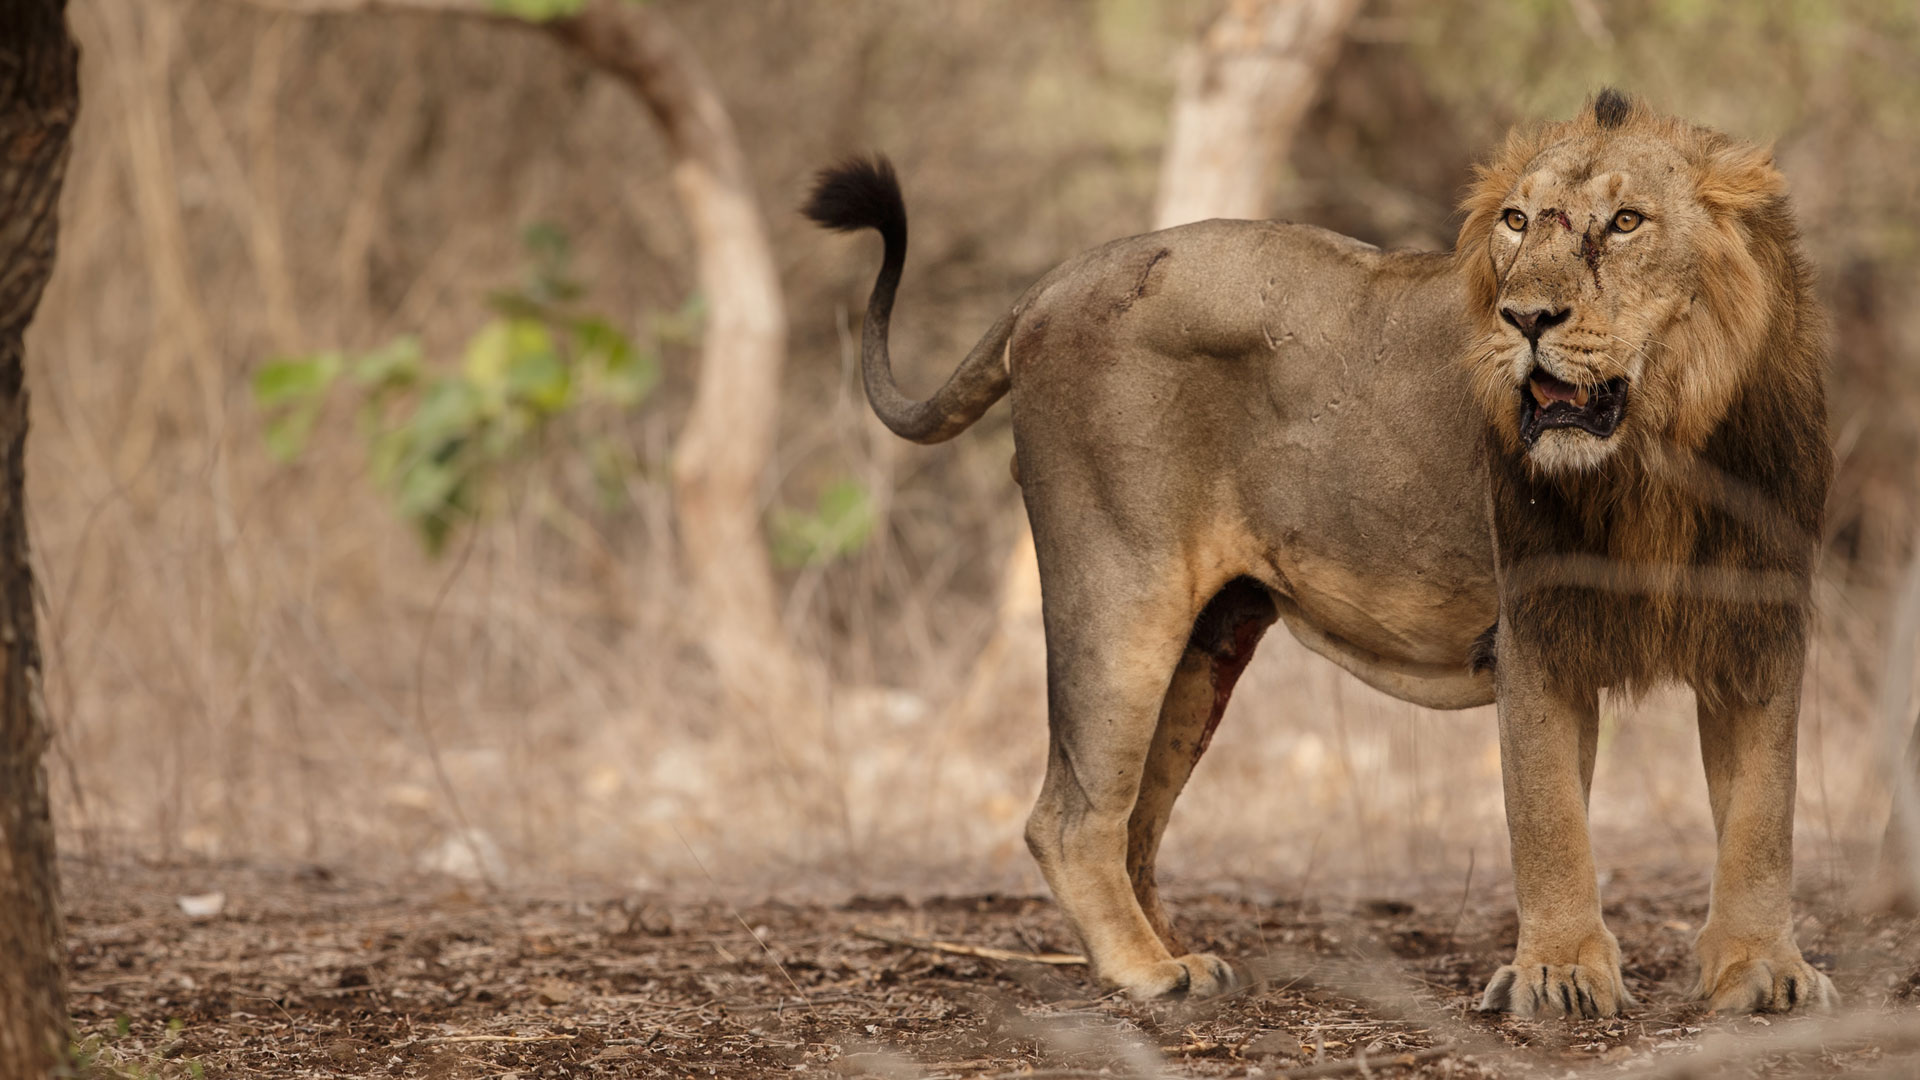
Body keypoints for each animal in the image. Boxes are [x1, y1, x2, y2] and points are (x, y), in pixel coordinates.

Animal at [802, 88, 1835, 1014]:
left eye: (1625, 222)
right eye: (1516, 220)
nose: (1525, 319)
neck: (1666, 453)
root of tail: (1053, 280)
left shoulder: (1762, 631)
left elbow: (1763, 818)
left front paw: (1763, 974)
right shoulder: (1536, 630)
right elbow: (1549, 821)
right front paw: (1559, 977)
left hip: (1209, 645)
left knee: (1136, 823)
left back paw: (1180, 952)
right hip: (1119, 592)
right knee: (1068, 817)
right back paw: (1148, 974)